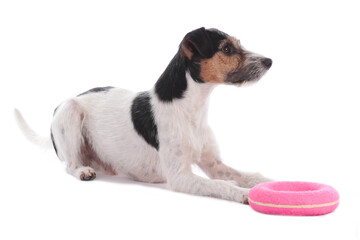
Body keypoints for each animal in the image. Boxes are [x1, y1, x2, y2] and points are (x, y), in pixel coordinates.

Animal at [14, 27, 272, 203]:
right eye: (227, 49)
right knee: (70, 164)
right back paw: (82, 171)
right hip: (69, 112)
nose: (269, 61)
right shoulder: (180, 177)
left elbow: (248, 175)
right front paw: (243, 193)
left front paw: (266, 182)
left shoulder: (213, 164)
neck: (191, 110)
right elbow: (221, 185)